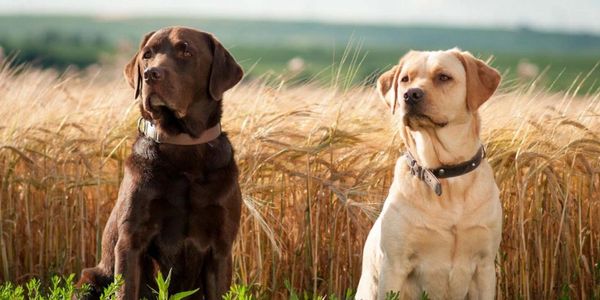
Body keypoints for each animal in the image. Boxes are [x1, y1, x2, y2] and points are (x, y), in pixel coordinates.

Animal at [78, 27, 244, 298]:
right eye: (147, 55)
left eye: (186, 51)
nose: (150, 74)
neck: (183, 145)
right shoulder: (131, 241)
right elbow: (127, 289)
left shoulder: (221, 248)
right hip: (90, 279)